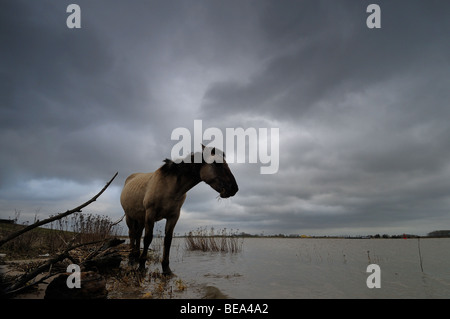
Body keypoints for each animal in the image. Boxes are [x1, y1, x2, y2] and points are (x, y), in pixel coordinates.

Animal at [119, 145, 239, 276]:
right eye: (217, 164)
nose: (234, 188)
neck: (169, 187)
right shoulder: (150, 214)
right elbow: (148, 239)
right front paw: (141, 266)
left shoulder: (173, 216)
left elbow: (168, 240)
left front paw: (166, 269)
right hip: (130, 217)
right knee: (132, 234)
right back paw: (132, 259)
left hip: (140, 219)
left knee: (137, 234)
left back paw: (135, 256)